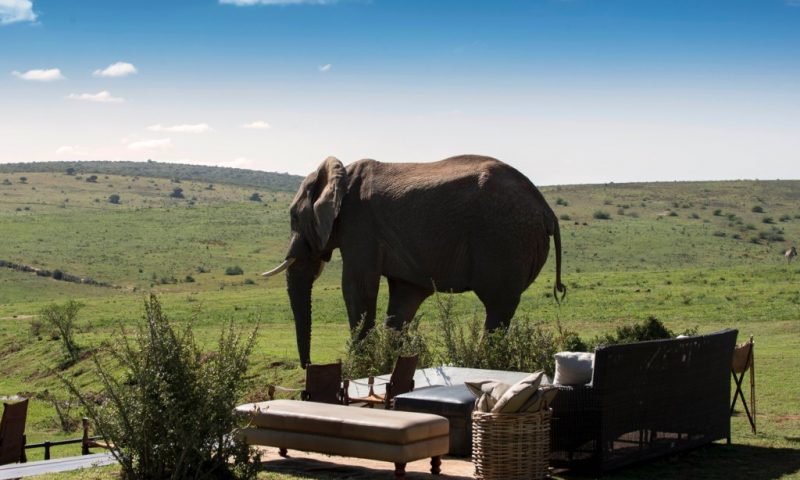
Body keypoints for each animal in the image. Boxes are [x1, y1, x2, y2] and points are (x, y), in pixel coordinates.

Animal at [262, 154, 566, 367]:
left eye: (293, 217)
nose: (308, 365)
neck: (341, 173)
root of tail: (546, 209)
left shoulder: (360, 227)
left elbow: (357, 287)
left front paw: (359, 366)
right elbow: (403, 299)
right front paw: (390, 363)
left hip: (505, 239)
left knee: (498, 306)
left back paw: (485, 363)